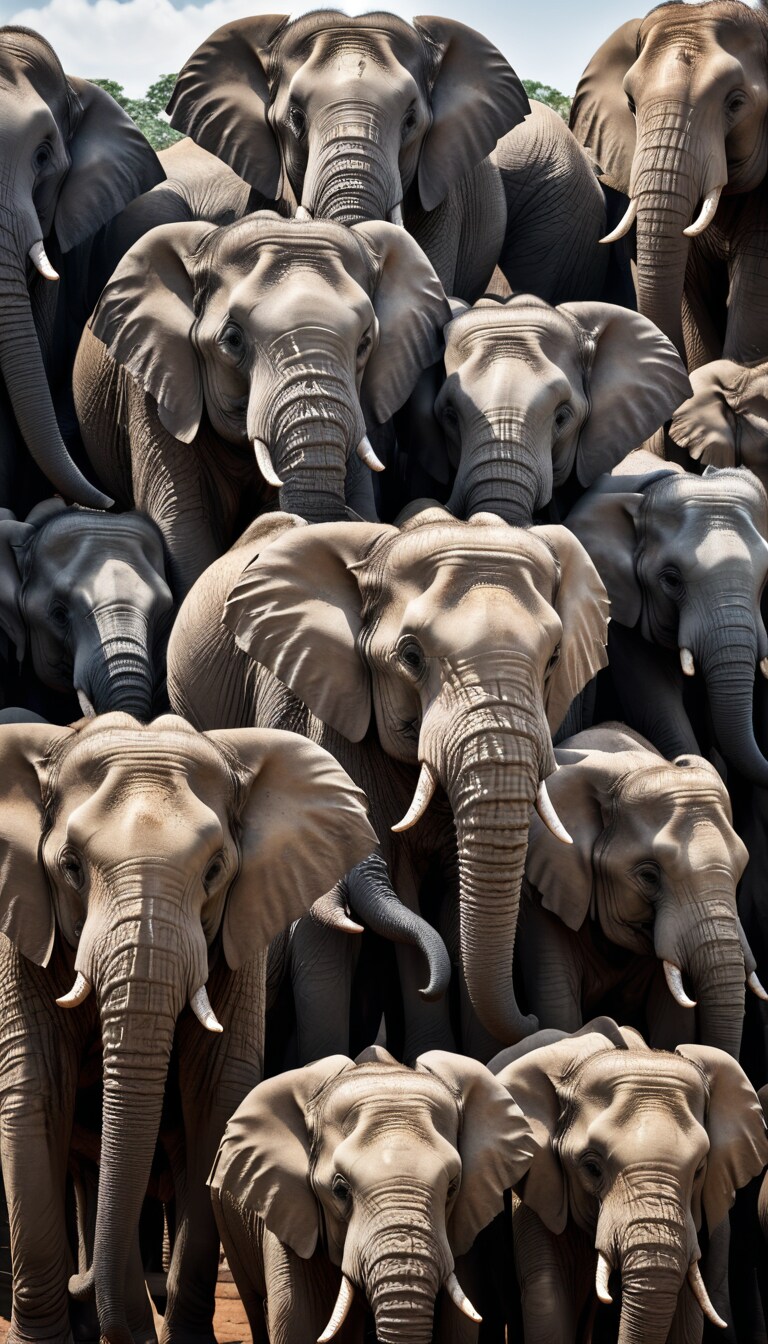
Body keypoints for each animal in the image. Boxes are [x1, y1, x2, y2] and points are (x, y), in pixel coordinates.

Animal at [0, 711, 375, 1344]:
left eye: (215, 869)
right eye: (70, 868)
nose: (84, 1288)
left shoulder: (240, 933)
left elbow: (216, 1095)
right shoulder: (23, 921)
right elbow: (37, 1091)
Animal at [167, 506, 609, 1056]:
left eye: (553, 659)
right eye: (411, 656)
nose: (531, 1019)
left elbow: (452, 897)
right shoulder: (328, 707)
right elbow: (346, 917)